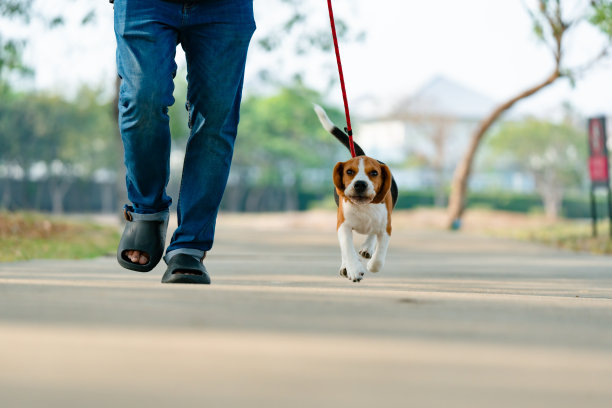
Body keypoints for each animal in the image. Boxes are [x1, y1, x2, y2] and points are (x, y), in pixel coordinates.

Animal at [316, 105, 396, 282]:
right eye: (349, 171)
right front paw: (353, 268)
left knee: (372, 235)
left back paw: (367, 248)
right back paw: (346, 266)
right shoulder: (343, 225)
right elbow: (347, 247)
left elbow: (379, 258)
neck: (364, 206)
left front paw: (372, 264)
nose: (360, 184)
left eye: (374, 173)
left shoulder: (386, 227)